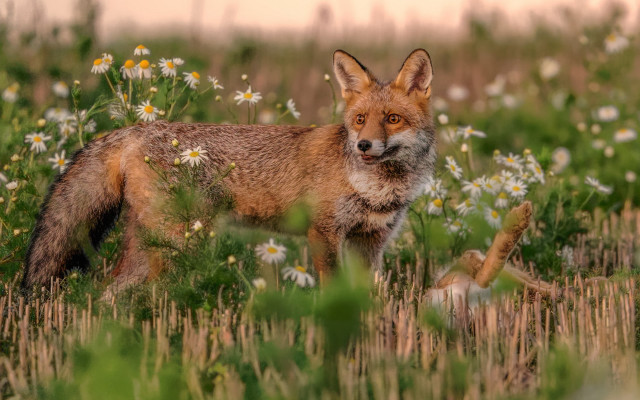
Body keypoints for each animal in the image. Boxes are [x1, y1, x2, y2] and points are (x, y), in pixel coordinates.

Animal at [22, 49, 436, 293]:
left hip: (153, 242)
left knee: (108, 290)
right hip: (175, 240)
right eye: (361, 119)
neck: (377, 190)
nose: (363, 145)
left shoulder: (371, 240)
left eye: (393, 119)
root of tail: (137, 129)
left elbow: (367, 294)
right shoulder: (324, 233)